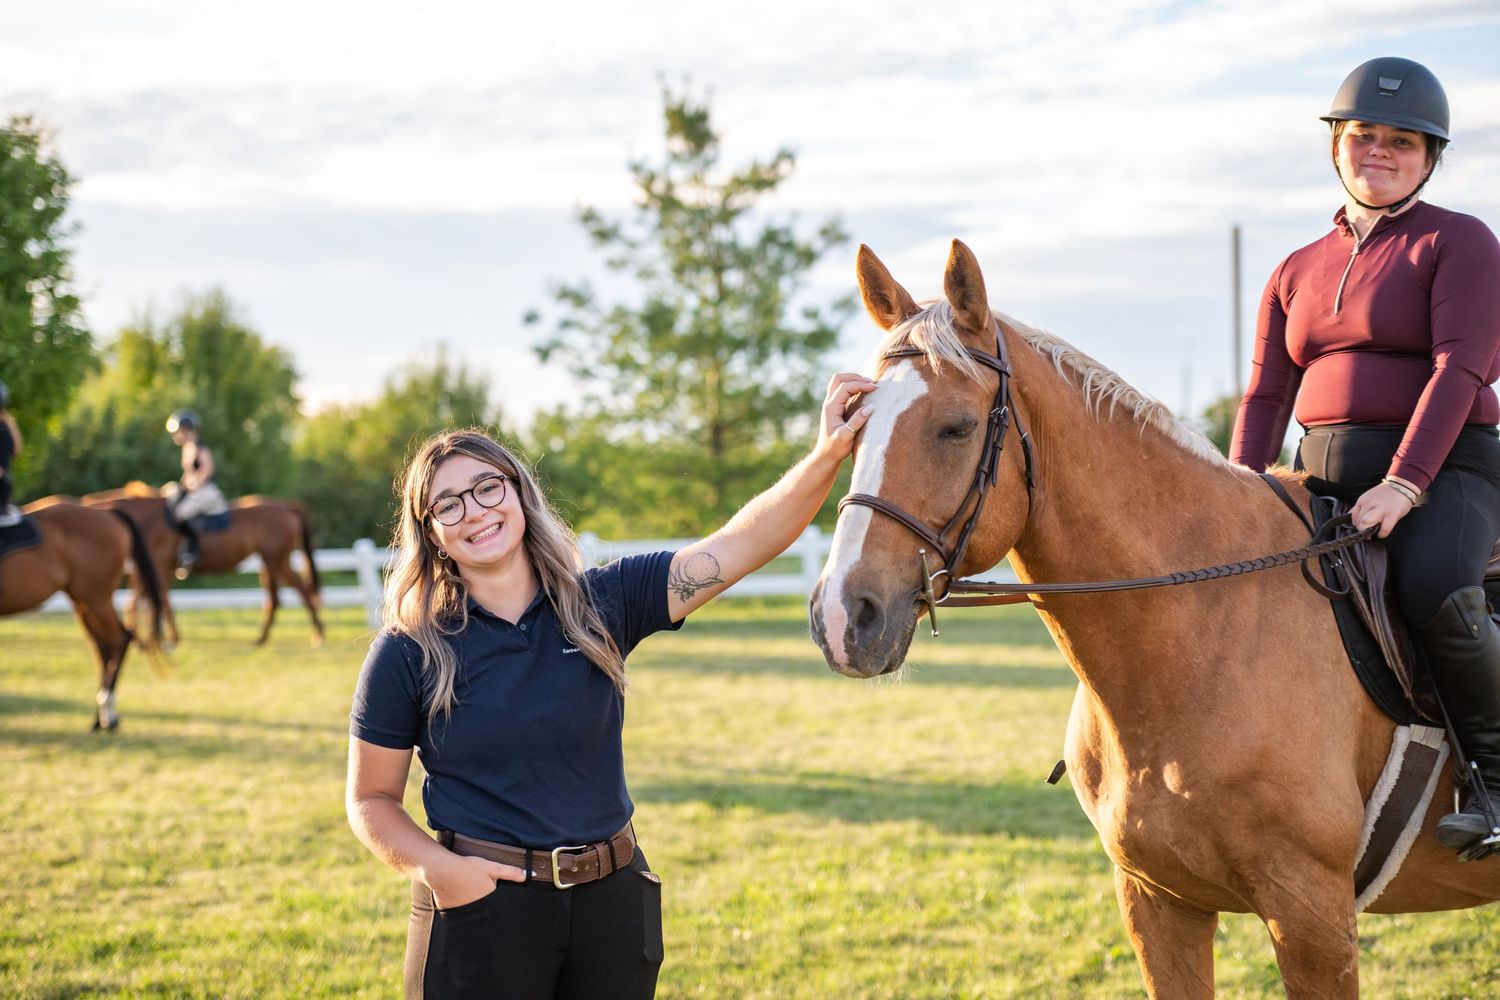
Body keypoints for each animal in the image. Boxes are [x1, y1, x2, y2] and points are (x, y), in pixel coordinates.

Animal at [1, 497, 167, 729]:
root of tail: (107, 513)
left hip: (96, 597)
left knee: (121, 638)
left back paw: (108, 712)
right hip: (83, 602)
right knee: (103, 646)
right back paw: (100, 717)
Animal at [82, 484, 325, 647]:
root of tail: (287, 506)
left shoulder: (159, 567)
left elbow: (156, 601)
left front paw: (165, 639)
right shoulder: (157, 570)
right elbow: (148, 601)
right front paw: (154, 638)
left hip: (277, 561)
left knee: (299, 594)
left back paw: (315, 635)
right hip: (270, 563)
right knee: (278, 599)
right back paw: (265, 638)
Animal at [808, 240, 1500, 998]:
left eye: (955, 427)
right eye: (852, 426)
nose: (843, 617)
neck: (1202, 639)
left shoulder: (1312, 919)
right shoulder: (1158, 904)